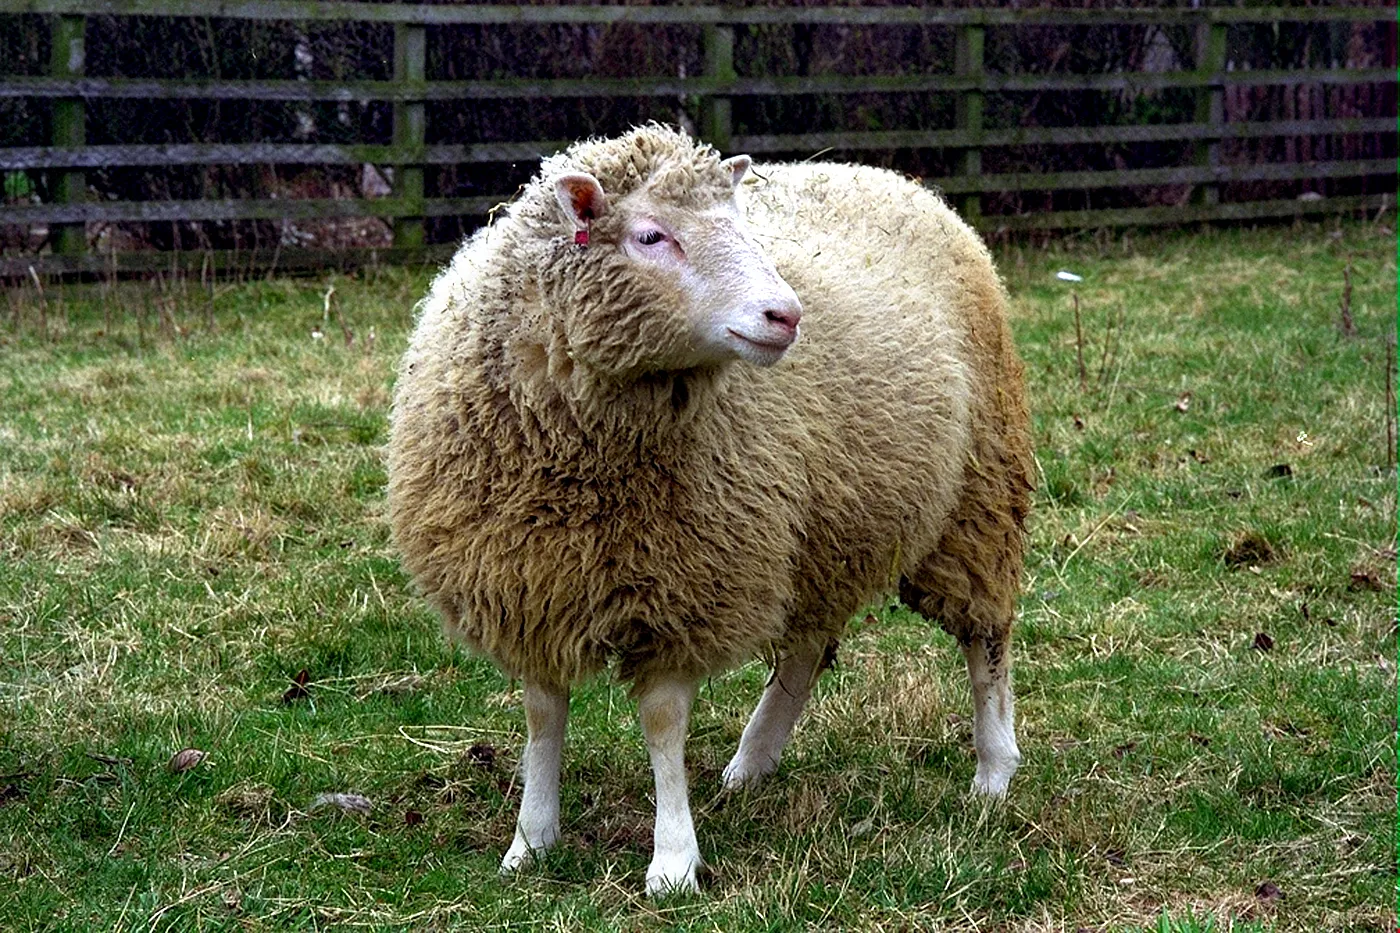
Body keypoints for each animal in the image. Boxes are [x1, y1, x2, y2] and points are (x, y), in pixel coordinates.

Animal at [386, 125, 1033, 896]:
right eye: (650, 235)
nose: (786, 315)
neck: (582, 464)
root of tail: (883, 174)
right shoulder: (532, 582)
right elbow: (543, 715)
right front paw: (531, 840)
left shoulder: (687, 583)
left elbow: (663, 721)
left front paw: (671, 860)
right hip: (824, 526)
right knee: (807, 648)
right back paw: (752, 763)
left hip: (977, 492)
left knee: (985, 638)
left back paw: (993, 772)